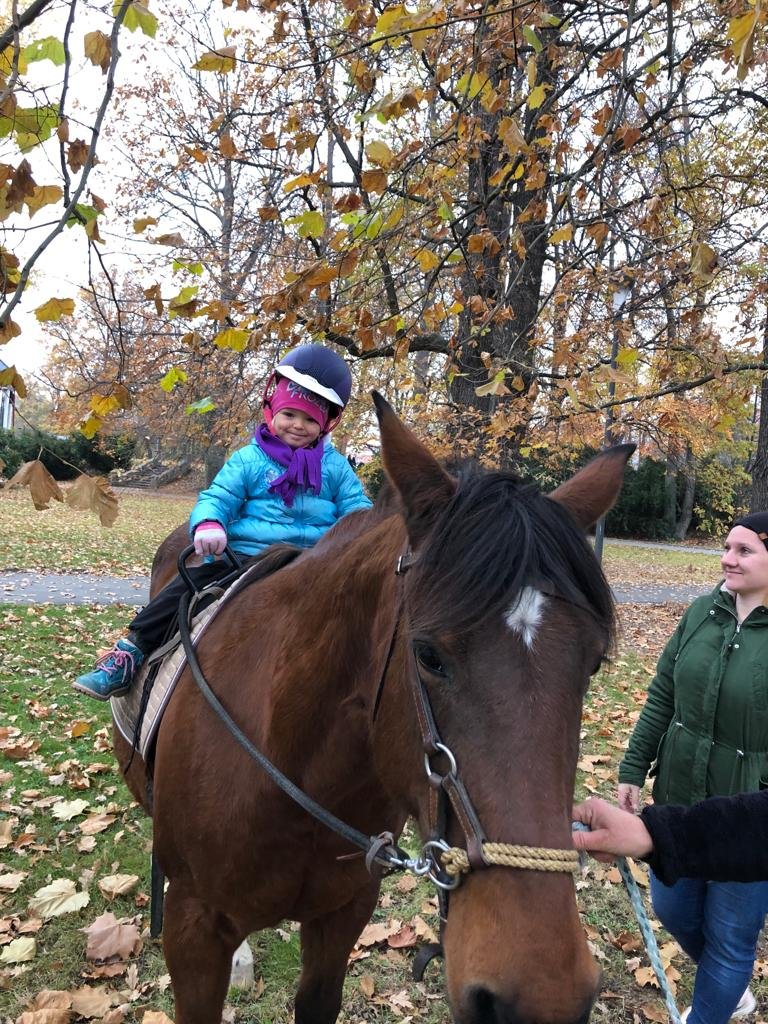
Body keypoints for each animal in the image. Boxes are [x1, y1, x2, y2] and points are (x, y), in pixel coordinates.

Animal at [114, 393, 633, 1024]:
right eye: (428, 655)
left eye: (594, 663)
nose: (542, 999)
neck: (290, 765)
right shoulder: (192, 932)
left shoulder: (344, 914)